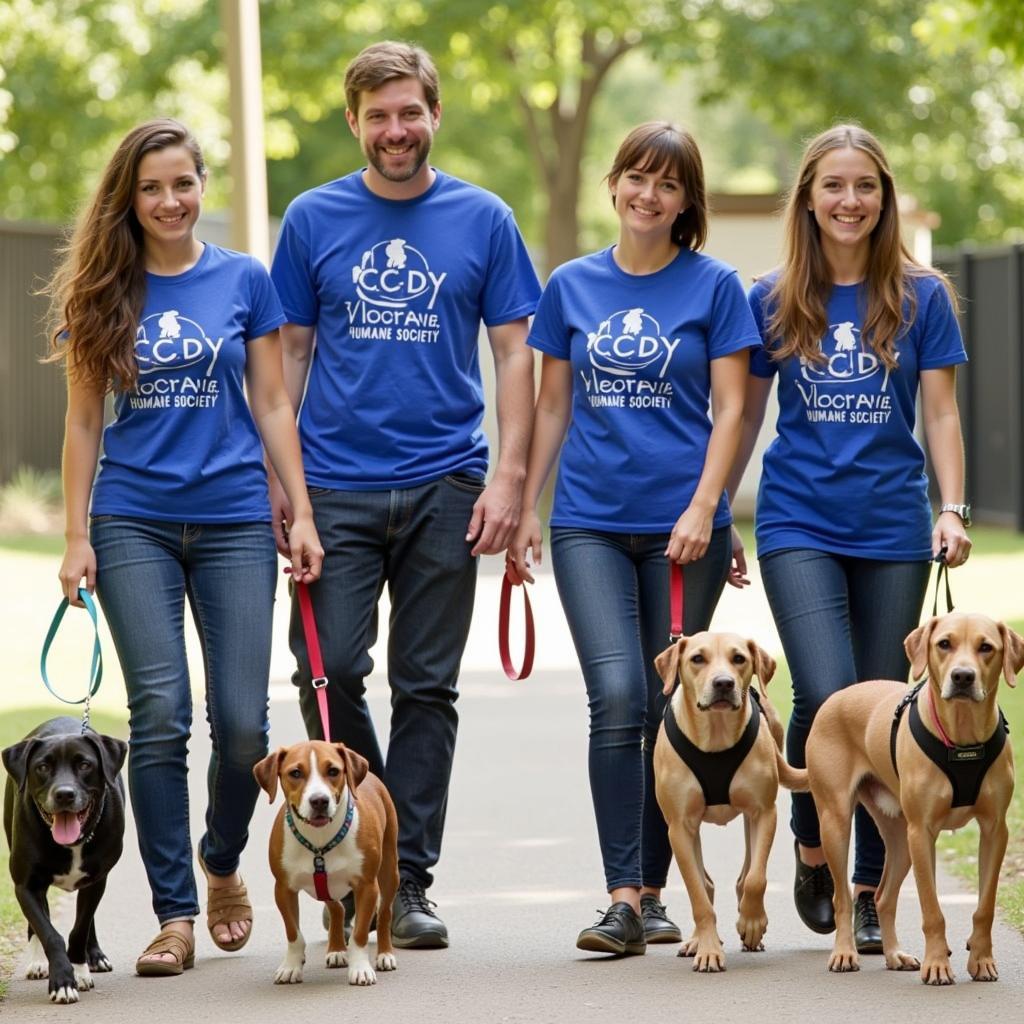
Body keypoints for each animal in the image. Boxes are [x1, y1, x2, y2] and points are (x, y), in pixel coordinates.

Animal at [2, 716, 126, 1003]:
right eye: (42, 767)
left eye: (85, 765)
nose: (64, 794)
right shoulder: (26, 886)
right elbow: (49, 932)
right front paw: (62, 980)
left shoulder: (97, 880)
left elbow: (80, 928)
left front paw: (79, 970)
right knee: (38, 924)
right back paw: (38, 962)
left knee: (88, 920)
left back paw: (95, 956)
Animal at [251, 741, 399, 987]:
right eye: (295, 773)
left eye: (333, 771)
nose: (319, 800)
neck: (319, 842)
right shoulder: (283, 889)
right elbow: (293, 933)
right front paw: (291, 966)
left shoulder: (367, 886)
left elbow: (359, 934)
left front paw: (360, 968)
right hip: (322, 885)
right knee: (337, 909)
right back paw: (337, 949)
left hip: (389, 869)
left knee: (385, 911)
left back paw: (385, 954)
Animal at [655, 626, 806, 970]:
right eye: (697, 659)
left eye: (739, 658)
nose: (723, 683)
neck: (716, 734)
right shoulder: (679, 827)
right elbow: (698, 893)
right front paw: (708, 949)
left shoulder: (764, 812)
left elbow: (755, 879)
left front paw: (751, 923)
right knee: (706, 883)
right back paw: (696, 940)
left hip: (751, 817)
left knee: (745, 874)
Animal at [802, 610, 1019, 987]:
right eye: (944, 643)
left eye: (986, 647)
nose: (963, 677)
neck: (962, 738)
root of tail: (836, 697)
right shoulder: (923, 832)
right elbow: (932, 910)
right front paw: (938, 964)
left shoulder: (995, 830)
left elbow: (985, 906)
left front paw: (981, 959)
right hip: (836, 822)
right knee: (842, 897)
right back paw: (844, 952)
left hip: (900, 837)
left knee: (883, 897)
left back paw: (893, 954)